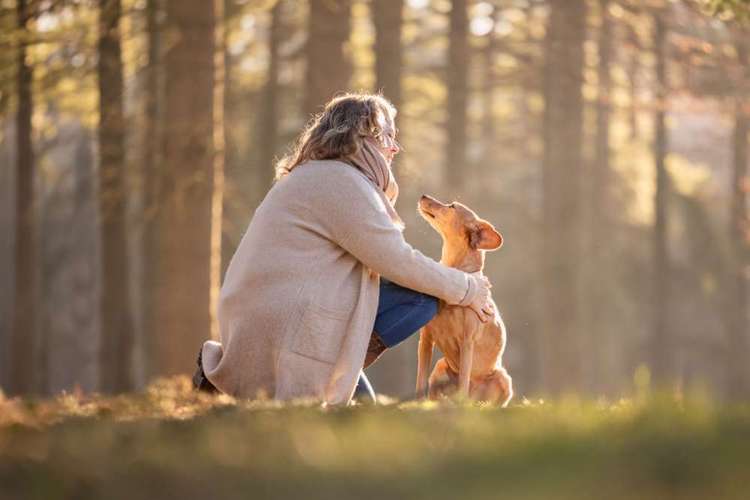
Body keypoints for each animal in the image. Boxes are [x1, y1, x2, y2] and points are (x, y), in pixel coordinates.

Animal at [414, 195, 516, 406]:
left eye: (452, 206)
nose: (423, 196)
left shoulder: (467, 342)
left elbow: (463, 381)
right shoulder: (425, 340)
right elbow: (420, 380)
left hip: (503, 377)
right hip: (440, 366)